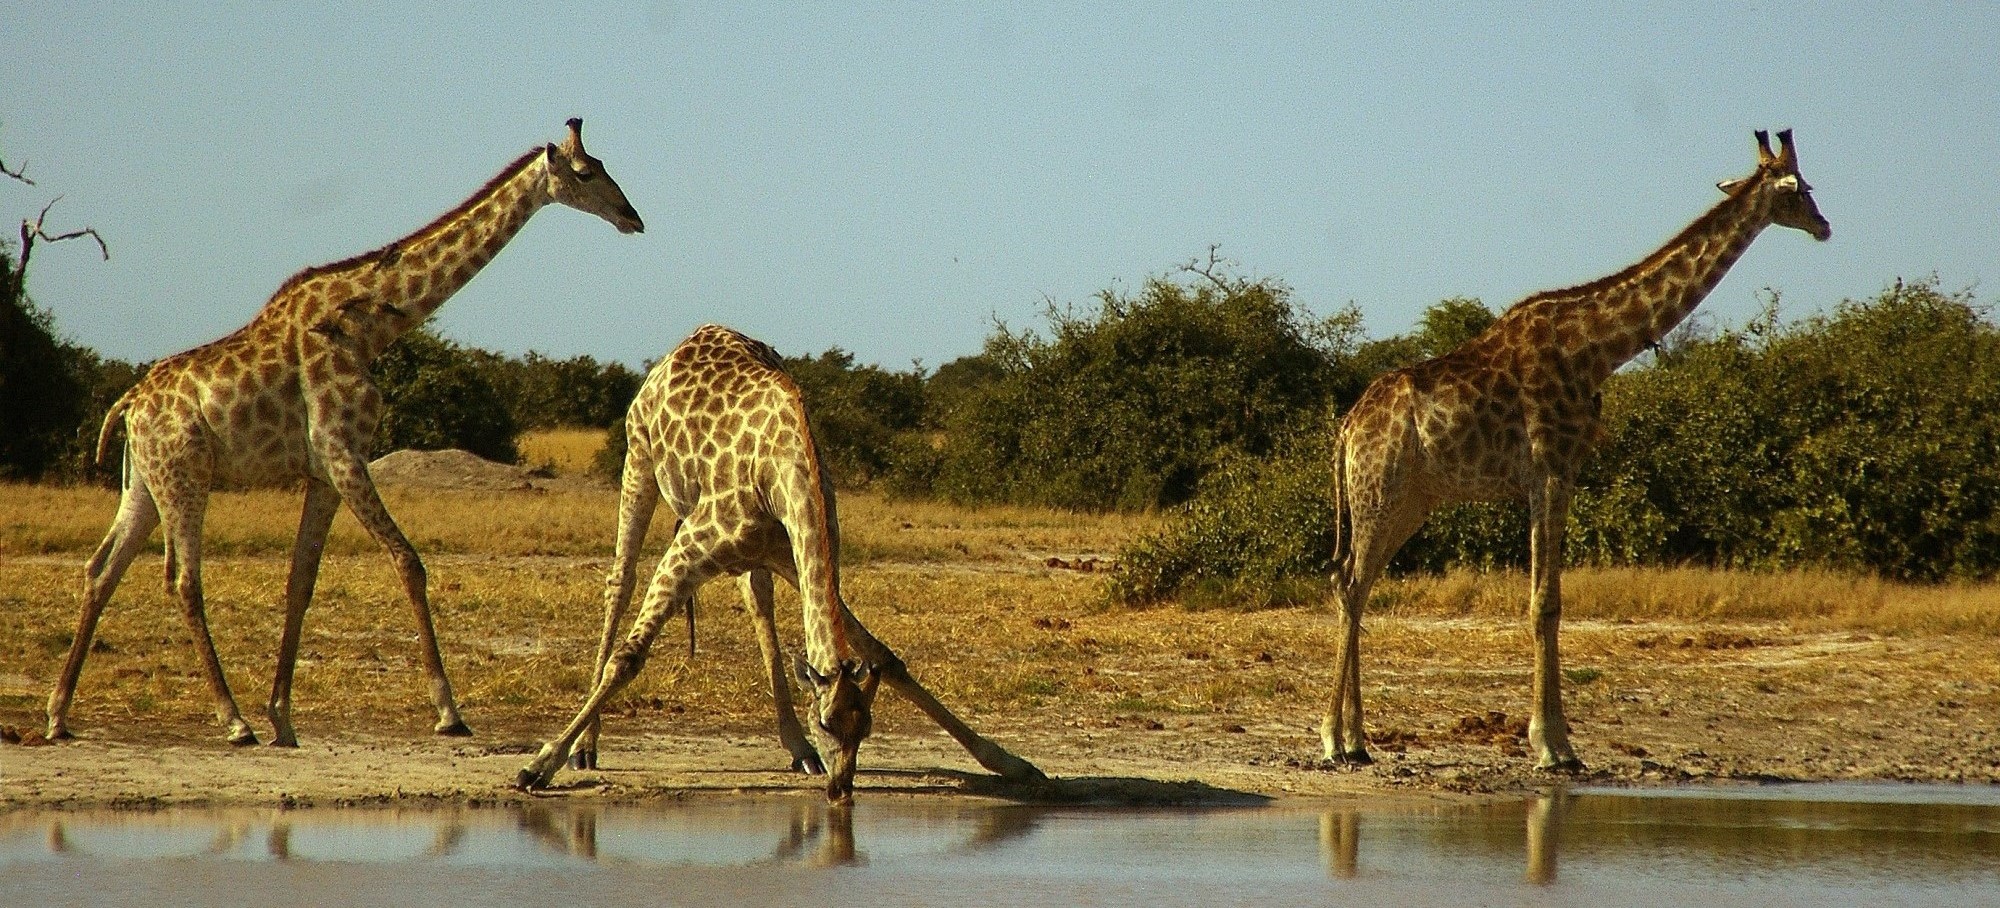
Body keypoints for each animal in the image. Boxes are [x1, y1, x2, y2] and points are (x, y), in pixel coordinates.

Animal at [45, 119, 644, 747]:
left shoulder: (325, 474)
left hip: (144, 483)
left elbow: (300, 581)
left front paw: (283, 718)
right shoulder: (344, 454)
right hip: (184, 477)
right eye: (586, 173)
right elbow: (408, 562)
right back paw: (232, 721)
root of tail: (127, 405)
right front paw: (448, 711)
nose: (633, 216)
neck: (368, 327)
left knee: (102, 569)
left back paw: (59, 715)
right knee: (183, 580)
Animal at [515, 324, 1044, 802]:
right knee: (620, 581)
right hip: (638, 456)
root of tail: (679, 349)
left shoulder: (789, 553)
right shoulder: (689, 549)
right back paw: (586, 748)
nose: (841, 790)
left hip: (756, 556)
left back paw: (798, 751)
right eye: (826, 723)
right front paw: (538, 766)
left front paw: (1014, 764)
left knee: (758, 605)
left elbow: (884, 656)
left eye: (866, 728)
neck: (783, 474)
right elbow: (629, 658)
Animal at [1321, 130, 1830, 770]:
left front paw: (1559, 741)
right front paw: (1552, 745)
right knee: (1348, 583)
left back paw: (1358, 740)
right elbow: (1545, 603)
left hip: (1408, 501)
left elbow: (1550, 601)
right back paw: (1335, 739)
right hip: (1379, 492)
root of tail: (1347, 430)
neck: (1596, 350)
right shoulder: (1551, 470)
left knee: (1355, 585)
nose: (1825, 225)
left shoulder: (1552, 476)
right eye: (1802, 188)